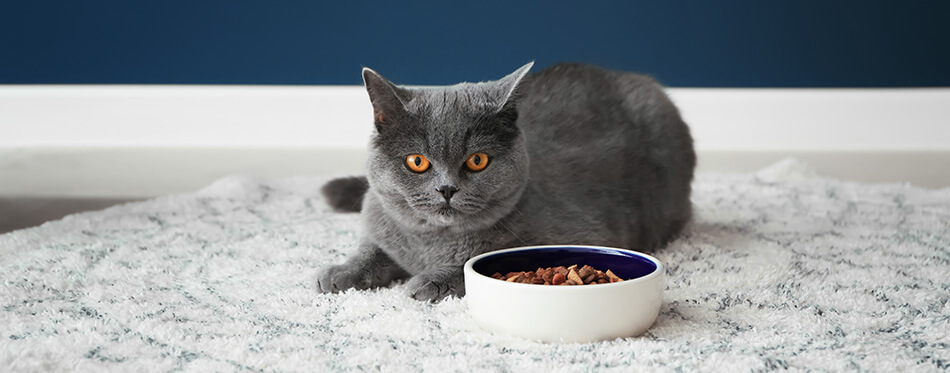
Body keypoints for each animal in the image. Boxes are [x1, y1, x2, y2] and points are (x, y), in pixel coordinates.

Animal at [316, 61, 696, 300]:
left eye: (477, 160)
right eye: (417, 161)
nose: (446, 188)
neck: (430, 243)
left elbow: (472, 264)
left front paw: (429, 282)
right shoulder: (379, 220)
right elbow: (372, 250)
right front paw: (340, 273)